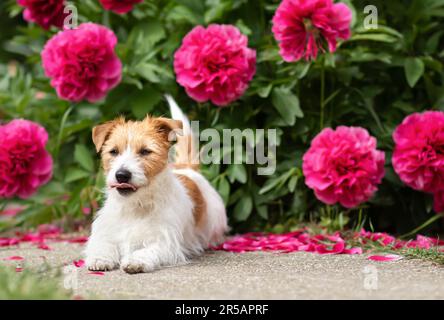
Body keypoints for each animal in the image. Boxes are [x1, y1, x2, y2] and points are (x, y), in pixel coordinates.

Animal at [84, 94, 227, 272]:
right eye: (114, 151)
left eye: (145, 151)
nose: (122, 175)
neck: (136, 205)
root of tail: (186, 168)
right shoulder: (106, 232)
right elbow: (102, 244)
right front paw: (100, 258)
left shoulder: (165, 242)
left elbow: (148, 250)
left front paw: (135, 260)